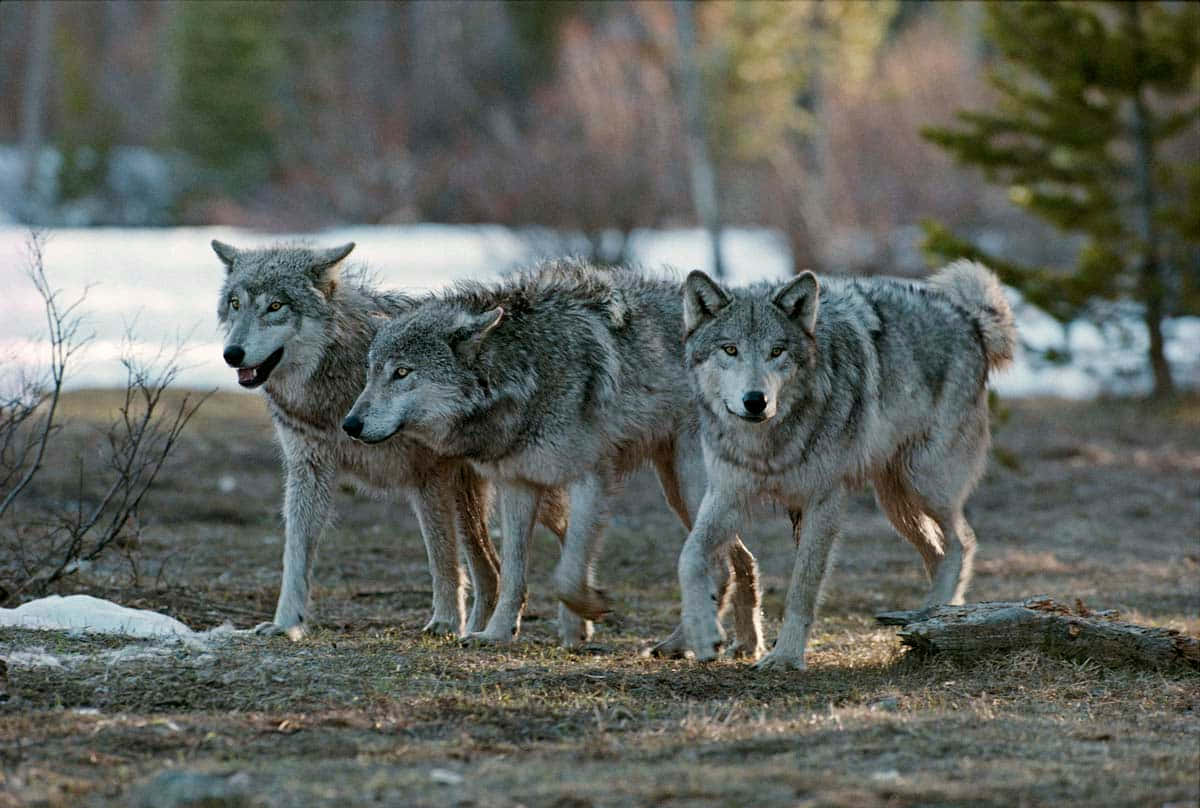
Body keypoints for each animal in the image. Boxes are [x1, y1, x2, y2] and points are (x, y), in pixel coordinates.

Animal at [212, 240, 566, 638]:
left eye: (275, 306)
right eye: (235, 303)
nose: (232, 354)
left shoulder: (430, 475)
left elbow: (442, 558)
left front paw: (444, 621)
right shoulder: (309, 469)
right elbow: (296, 556)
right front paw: (285, 624)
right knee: (491, 572)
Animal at [343, 261, 763, 653]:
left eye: (401, 372)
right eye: (370, 372)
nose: (349, 424)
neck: (525, 372)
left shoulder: (591, 479)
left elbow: (567, 573)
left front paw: (591, 605)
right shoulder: (518, 483)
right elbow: (513, 573)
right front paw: (496, 634)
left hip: (690, 482)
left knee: (720, 565)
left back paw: (694, 643)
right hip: (676, 489)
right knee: (739, 561)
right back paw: (728, 643)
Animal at [676, 258, 1012, 667]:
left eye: (777, 351)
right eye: (730, 349)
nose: (755, 401)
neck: (768, 444)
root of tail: (970, 320)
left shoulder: (823, 503)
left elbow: (803, 588)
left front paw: (785, 657)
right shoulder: (728, 496)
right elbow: (689, 555)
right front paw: (702, 633)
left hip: (924, 485)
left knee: (962, 542)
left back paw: (937, 615)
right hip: (896, 503)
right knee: (940, 551)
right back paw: (934, 617)